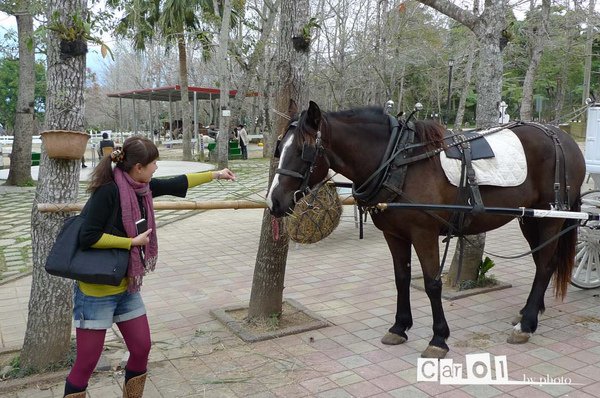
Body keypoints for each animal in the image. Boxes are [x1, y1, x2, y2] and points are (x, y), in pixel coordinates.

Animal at [268, 101, 584, 360]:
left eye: (303, 151)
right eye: (279, 148)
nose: (274, 202)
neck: (397, 162)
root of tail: (562, 138)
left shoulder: (424, 234)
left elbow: (432, 284)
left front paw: (439, 338)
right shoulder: (394, 235)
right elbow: (402, 278)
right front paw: (399, 327)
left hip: (551, 217)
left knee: (544, 266)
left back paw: (527, 324)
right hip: (530, 219)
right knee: (543, 262)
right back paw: (529, 313)